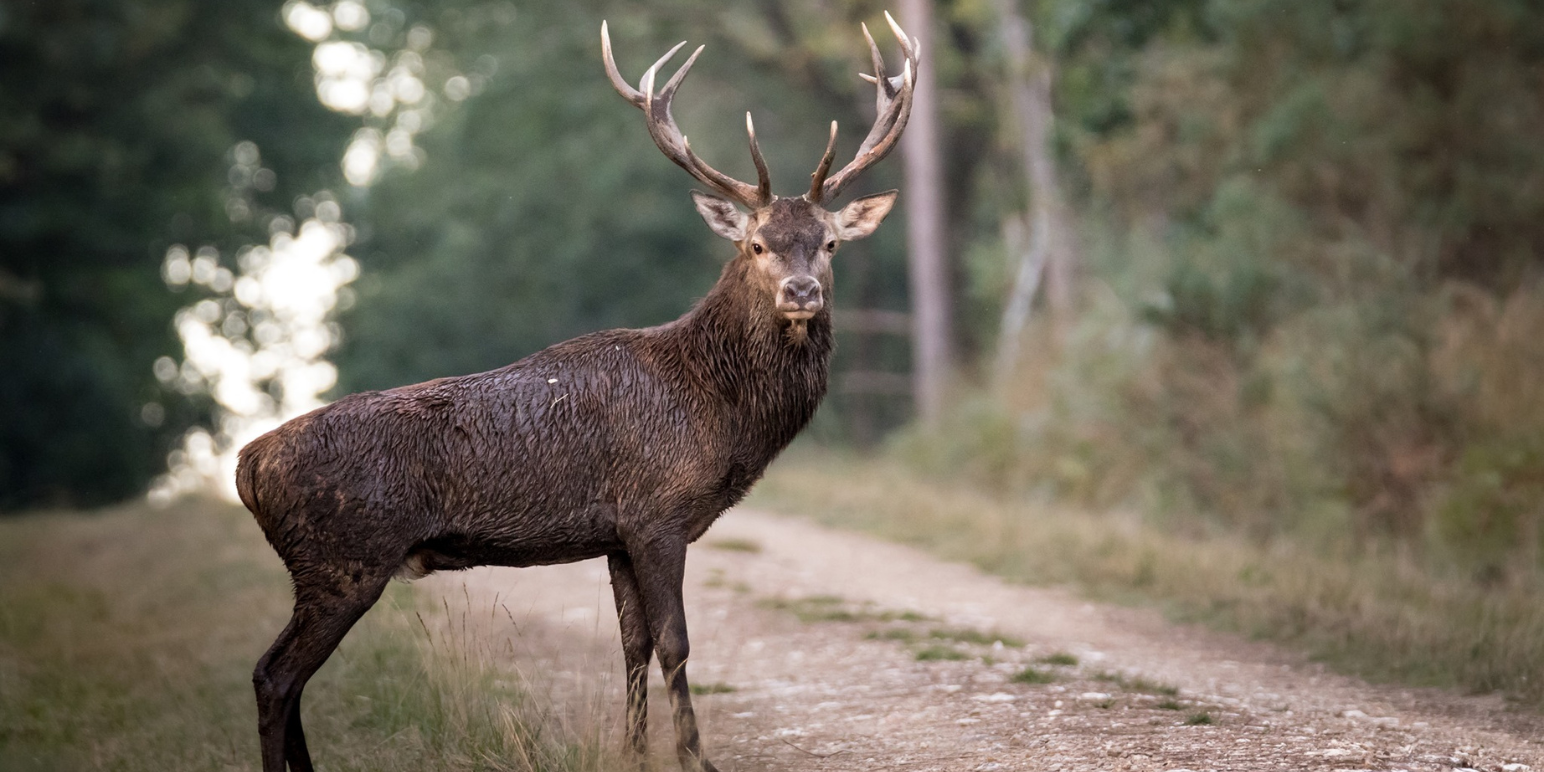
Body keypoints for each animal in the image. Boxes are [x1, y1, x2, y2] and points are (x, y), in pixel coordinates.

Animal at [233, 13, 914, 772]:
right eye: (757, 245)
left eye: (829, 243)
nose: (801, 292)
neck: (718, 411)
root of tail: (247, 464)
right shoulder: (656, 513)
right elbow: (676, 643)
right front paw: (693, 757)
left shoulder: (616, 534)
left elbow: (633, 644)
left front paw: (633, 753)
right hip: (343, 558)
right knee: (274, 674)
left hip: (326, 566)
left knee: (287, 679)